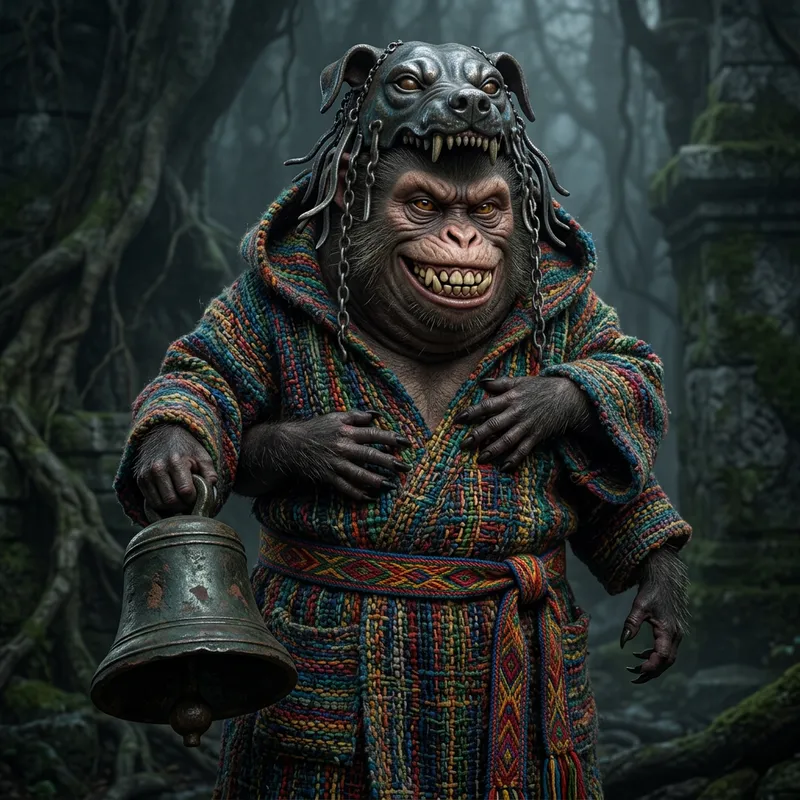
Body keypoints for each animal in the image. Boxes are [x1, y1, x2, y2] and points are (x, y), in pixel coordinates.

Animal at [120, 41, 691, 800]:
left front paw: (542, 405)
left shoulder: (579, 309)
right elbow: (206, 372)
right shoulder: (250, 303)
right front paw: (197, 456)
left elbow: (631, 373)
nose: (461, 234)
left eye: (487, 209)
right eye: (422, 204)